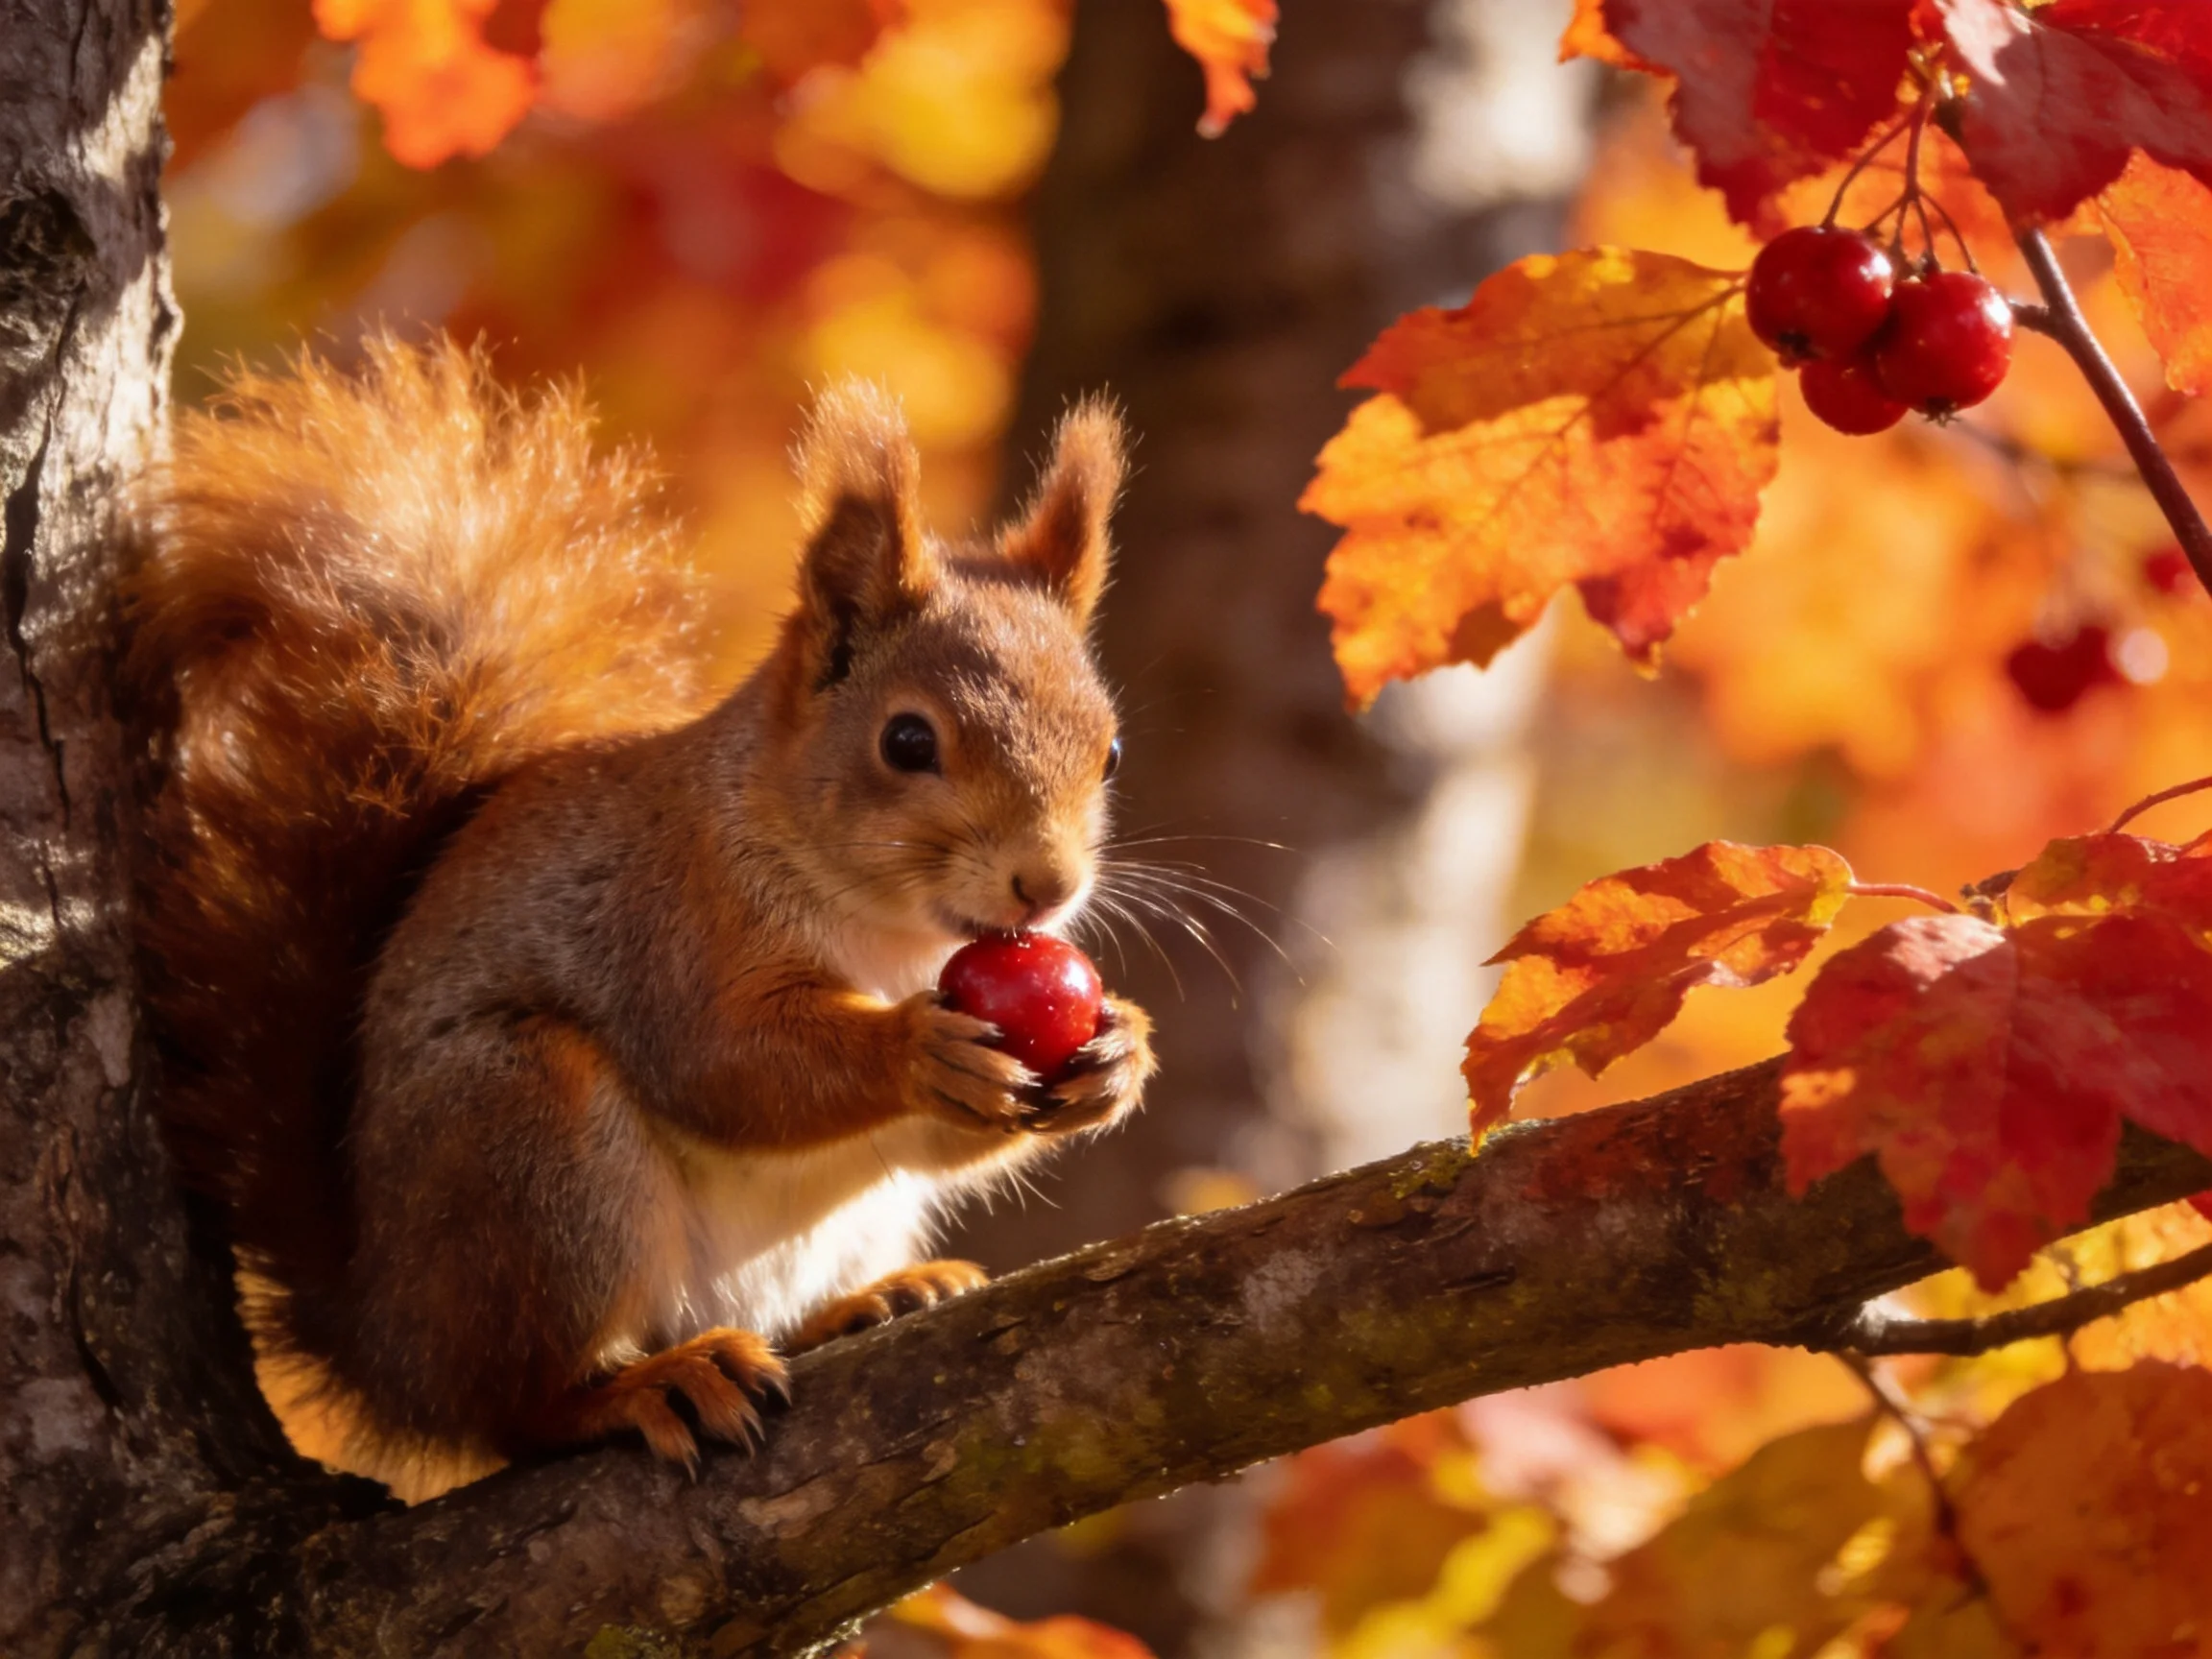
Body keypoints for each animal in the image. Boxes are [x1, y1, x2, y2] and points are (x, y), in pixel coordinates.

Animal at [130, 337, 1156, 1500]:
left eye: (1111, 751)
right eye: (906, 741)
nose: (1047, 886)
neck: (893, 932)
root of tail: (384, 1338)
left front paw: (1120, 1051)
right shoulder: (669, 921)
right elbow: (723, 1063)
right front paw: (914, 1051)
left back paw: (870, 1301)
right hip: (532, 1143)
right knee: (517, 1407)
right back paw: (643, 1386)